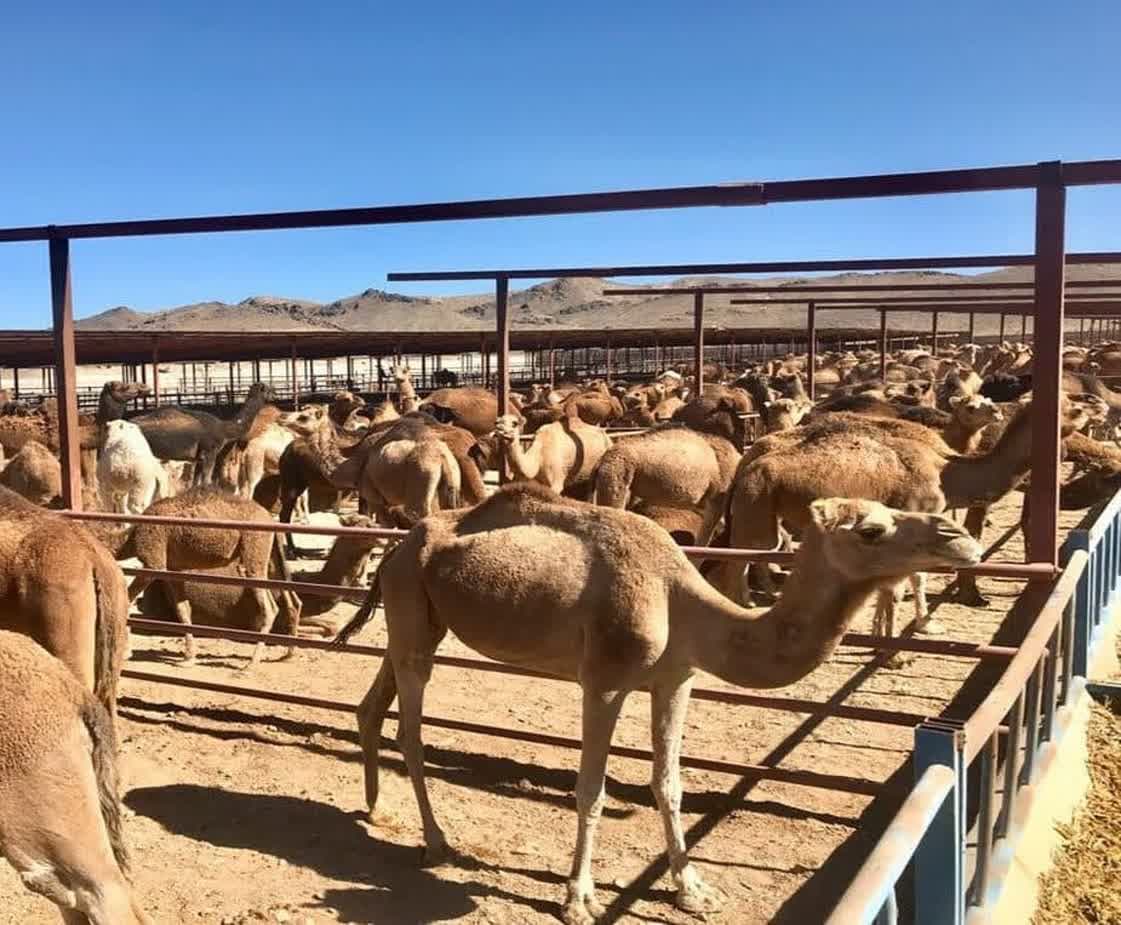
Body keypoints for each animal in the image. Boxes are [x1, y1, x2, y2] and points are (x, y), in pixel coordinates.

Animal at [334, 484, 981, 923]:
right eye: (870, 529)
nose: (960, 537)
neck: (683, 604)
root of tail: (397, 547)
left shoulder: (676, 681)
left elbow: (668, 783)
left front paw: (693, 889)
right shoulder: (604, 679)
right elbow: (590, 791)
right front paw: (579, 899)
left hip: (416, 616)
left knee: (372, 705)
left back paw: (376, 807)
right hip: (411, 609)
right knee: (409, 728)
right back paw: (435, 841)